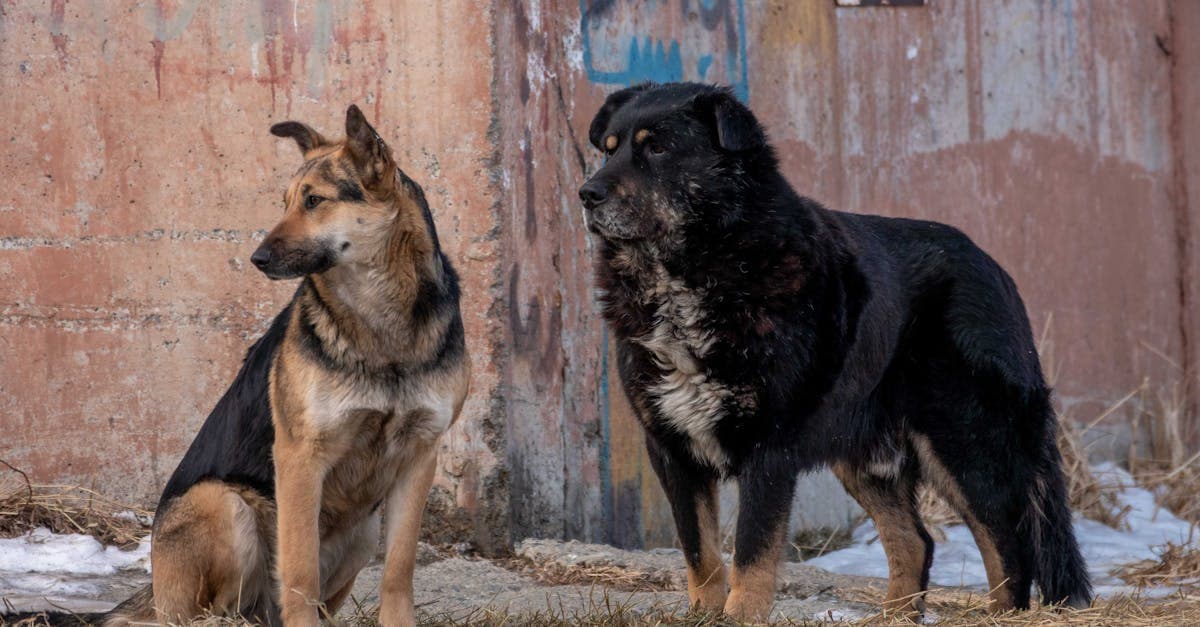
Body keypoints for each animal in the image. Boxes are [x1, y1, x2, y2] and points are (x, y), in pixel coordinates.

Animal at [102, 106, 468, 624]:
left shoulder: (420, 455)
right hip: (224, 505)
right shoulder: (299, 458)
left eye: (314, 201)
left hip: (362, 532)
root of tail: (153, 593)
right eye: (287, 202)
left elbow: (398, 570)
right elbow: (298, 572)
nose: (257, 258)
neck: (381, 319)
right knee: (219, 610)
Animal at [576, 82, 1094, 619]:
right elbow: (700, 553)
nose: (586, 195)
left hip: (964, 441)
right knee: (916, 541)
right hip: (865, 452)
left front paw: (741, 616)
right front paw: (703, 616)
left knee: (1008, 545)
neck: (697, 269)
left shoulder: (768, 450)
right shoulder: (672, 448)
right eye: (609, 150)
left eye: (657, 148)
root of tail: (997, 270)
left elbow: (751, 556)